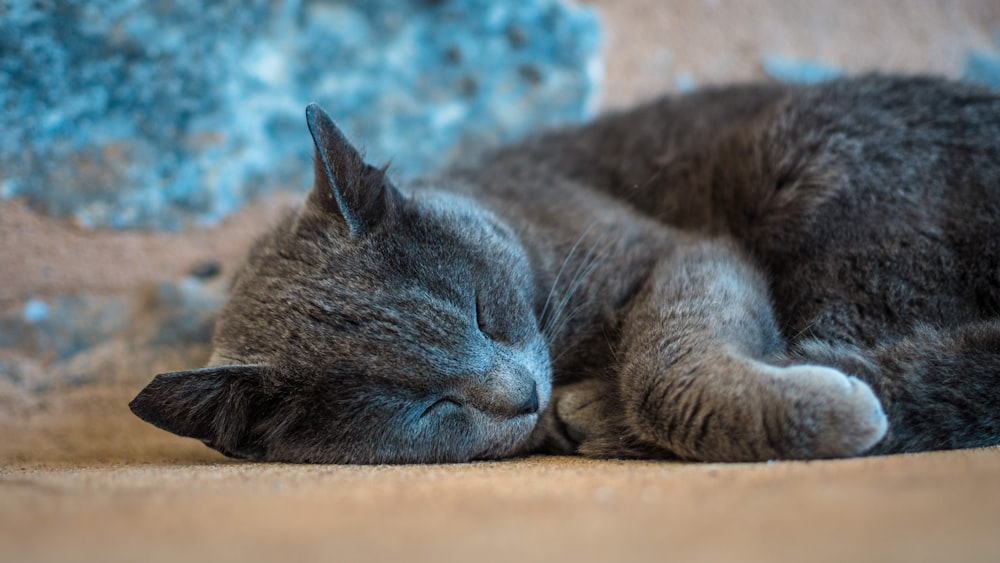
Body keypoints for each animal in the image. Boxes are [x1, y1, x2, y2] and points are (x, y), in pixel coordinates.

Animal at [131, 74, 1000, 462]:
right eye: (423, 406)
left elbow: (663, 365)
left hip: (821, 169)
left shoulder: (676, 249)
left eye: (482, 308)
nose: (522, 393)